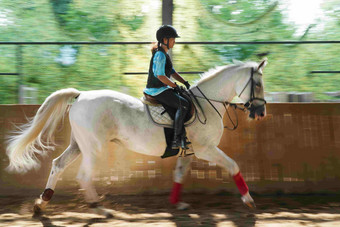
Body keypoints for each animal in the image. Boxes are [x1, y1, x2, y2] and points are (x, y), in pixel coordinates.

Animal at [4, 59, 266, 215]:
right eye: (258, 85)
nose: (261, 112)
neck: (206, 104)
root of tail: (80, 95)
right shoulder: (206, 149)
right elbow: (233, 165)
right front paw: (249, 200)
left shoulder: (189, 150)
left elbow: (179, 174)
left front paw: (177, 203)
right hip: (93, 148)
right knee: (83, 175)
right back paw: (98, 208)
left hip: (78, 145)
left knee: (58, 165)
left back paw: (41, 203)